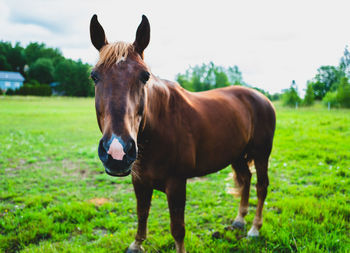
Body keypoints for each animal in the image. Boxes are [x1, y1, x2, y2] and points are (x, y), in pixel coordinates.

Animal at [90, 14, 276, 253]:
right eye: (94, 76)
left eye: (145, 76)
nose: (117, 152)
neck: (158, 129)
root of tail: (262, 98)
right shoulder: (139, 181)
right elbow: (142, 214)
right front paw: (137, 244)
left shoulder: (177, 184)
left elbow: (177, 229)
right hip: (237, 155)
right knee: (246, 179)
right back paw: (239, 220)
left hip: (262, 155)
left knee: (261, 187)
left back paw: (254, 229)